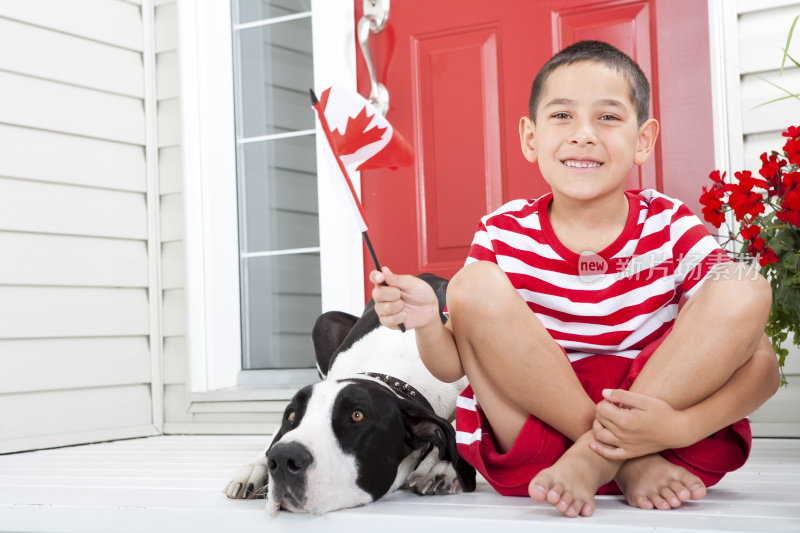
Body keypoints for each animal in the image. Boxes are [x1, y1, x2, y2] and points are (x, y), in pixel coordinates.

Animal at [225, 272, 476, 512]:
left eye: (357, 416)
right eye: (292, 415)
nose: (284, 457)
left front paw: (442, 467)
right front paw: (256, 467)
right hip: (324, 322)